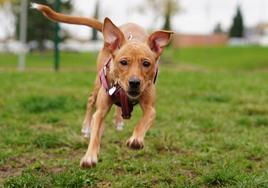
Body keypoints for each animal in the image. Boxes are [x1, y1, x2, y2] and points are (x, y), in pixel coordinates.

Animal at [31, 2, 174, 167]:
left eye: (146, 63)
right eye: (123, 62)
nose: (134, 82)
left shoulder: (150, 108)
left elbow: (143, 121)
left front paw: (136, 139)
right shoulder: (101, 111)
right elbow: (95, 133)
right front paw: (89, 156)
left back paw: (119, 120)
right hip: (97, 83)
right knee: (90, 101)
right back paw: (86, 127)